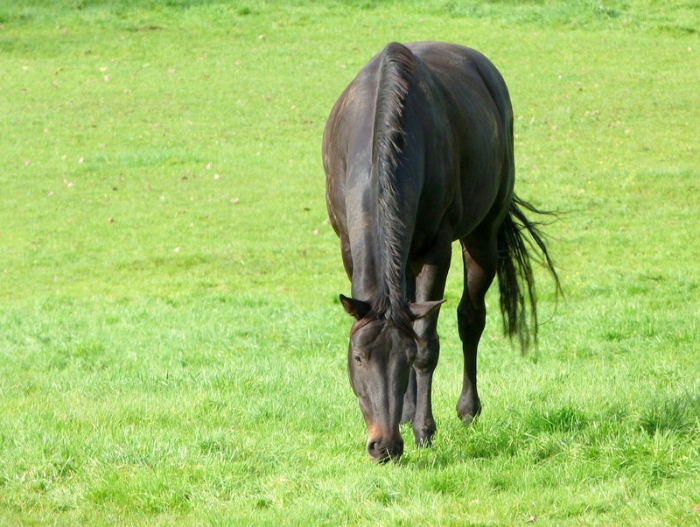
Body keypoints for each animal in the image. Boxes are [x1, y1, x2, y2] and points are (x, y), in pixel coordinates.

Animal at [322, 42, 559, 462]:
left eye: (404, 358)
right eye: (358, 357)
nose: (384, 447)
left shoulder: (436, 250)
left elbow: (427, 342)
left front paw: (424, 430)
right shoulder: (348, 245)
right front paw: (409, 418)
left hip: (483, 235)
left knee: (471, 319)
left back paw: (467, 410)